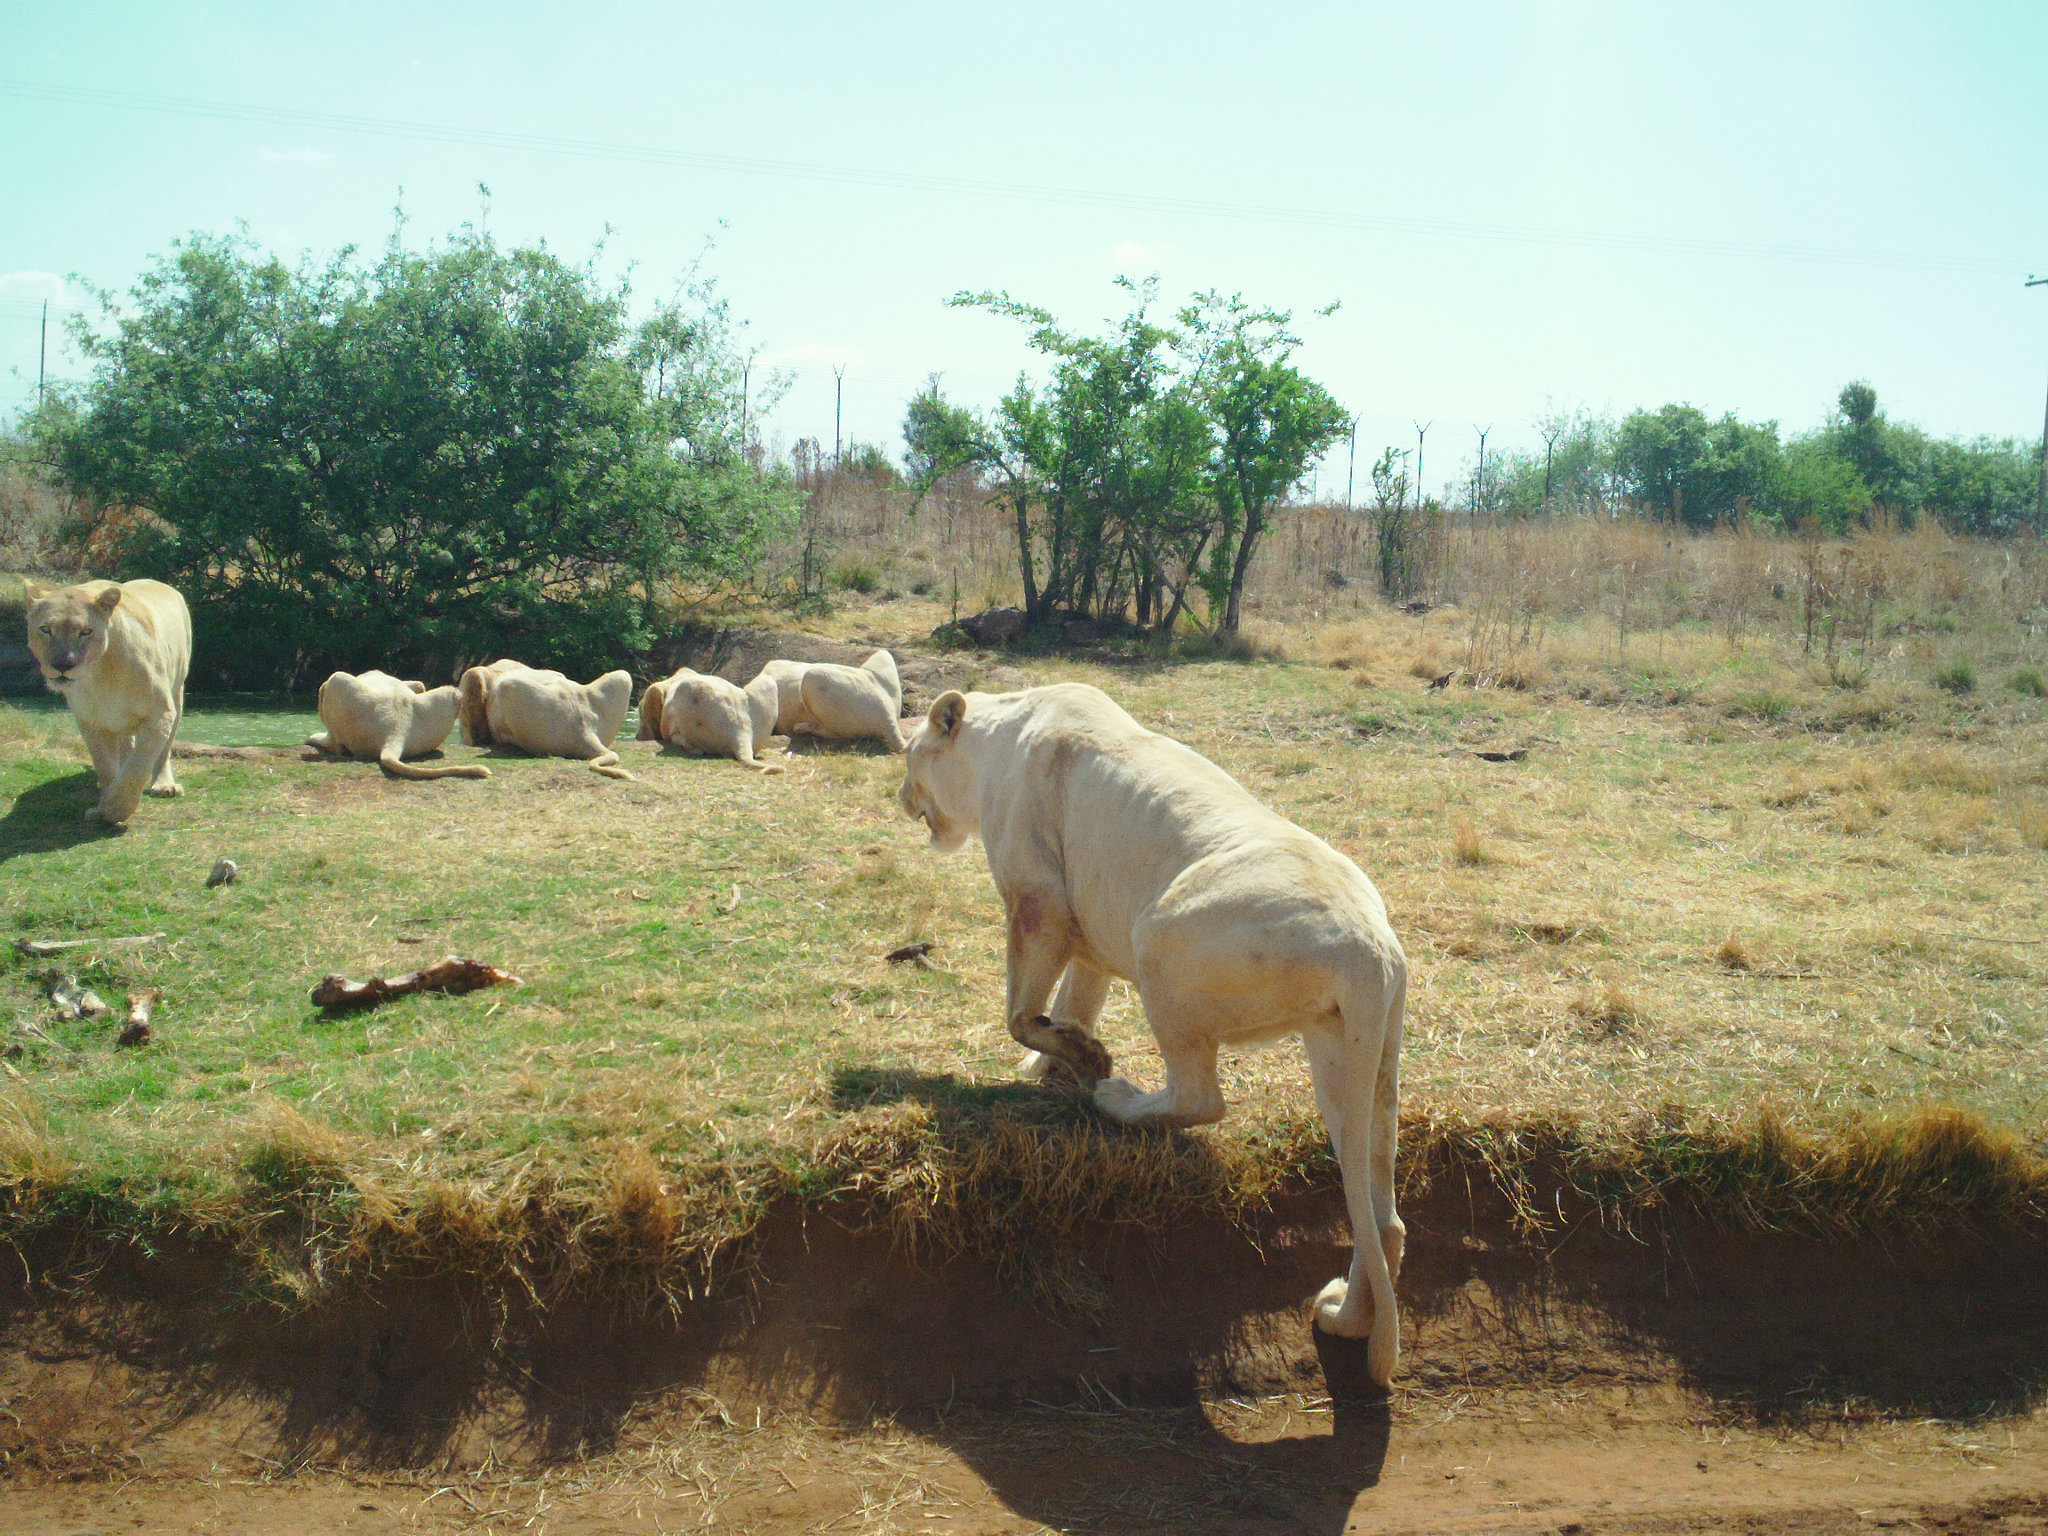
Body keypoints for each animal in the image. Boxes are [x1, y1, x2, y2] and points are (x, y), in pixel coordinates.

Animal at [24, 577, 192, 823]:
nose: (63, 665)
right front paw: (106, 805)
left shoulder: (159, 714)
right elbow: (105, 767)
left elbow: (137, 768)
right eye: (46, 629)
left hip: (177, 695)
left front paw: (114, 811)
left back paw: (164, 786)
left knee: (162, 750)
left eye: (86, 631)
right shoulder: (90, 721)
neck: (99, 674)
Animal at [897, 684, 1409, 1392]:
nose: (899, 796)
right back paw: (1346, 1318)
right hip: (1353, 1050)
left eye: (907, 754)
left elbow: (1020, 1012)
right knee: (1379, 1216)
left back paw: (1116, 1098)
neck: (995, 737)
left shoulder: (1039, 901)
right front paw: (1057, 1061)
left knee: (1201, 1099)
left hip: (1158, 940)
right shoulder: (1085, 929)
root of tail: (1368, 948)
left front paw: (1084, 1059)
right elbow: (1073, 1000)